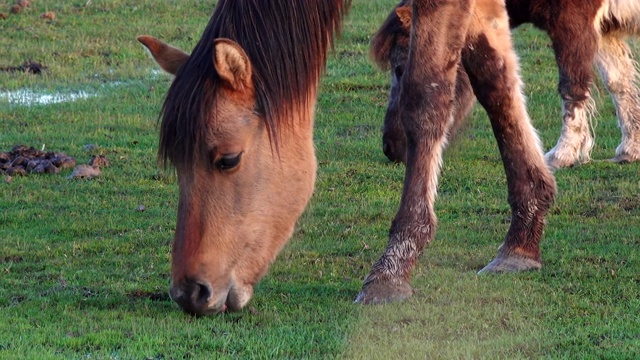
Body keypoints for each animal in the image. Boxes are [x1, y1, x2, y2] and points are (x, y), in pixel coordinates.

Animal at [140, 0, 556, 312]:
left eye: (228, 159)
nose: (189, 292)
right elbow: (493, 77)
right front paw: (522, 238)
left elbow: (426, 95)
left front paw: (391, 269)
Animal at [378, 0, 640, 169]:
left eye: (400, 69)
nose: (389, 148)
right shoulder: (604, 29)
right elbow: (619, 83)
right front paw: (630, 150)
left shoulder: (573, 23)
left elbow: (572, 88)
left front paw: (562, 155)